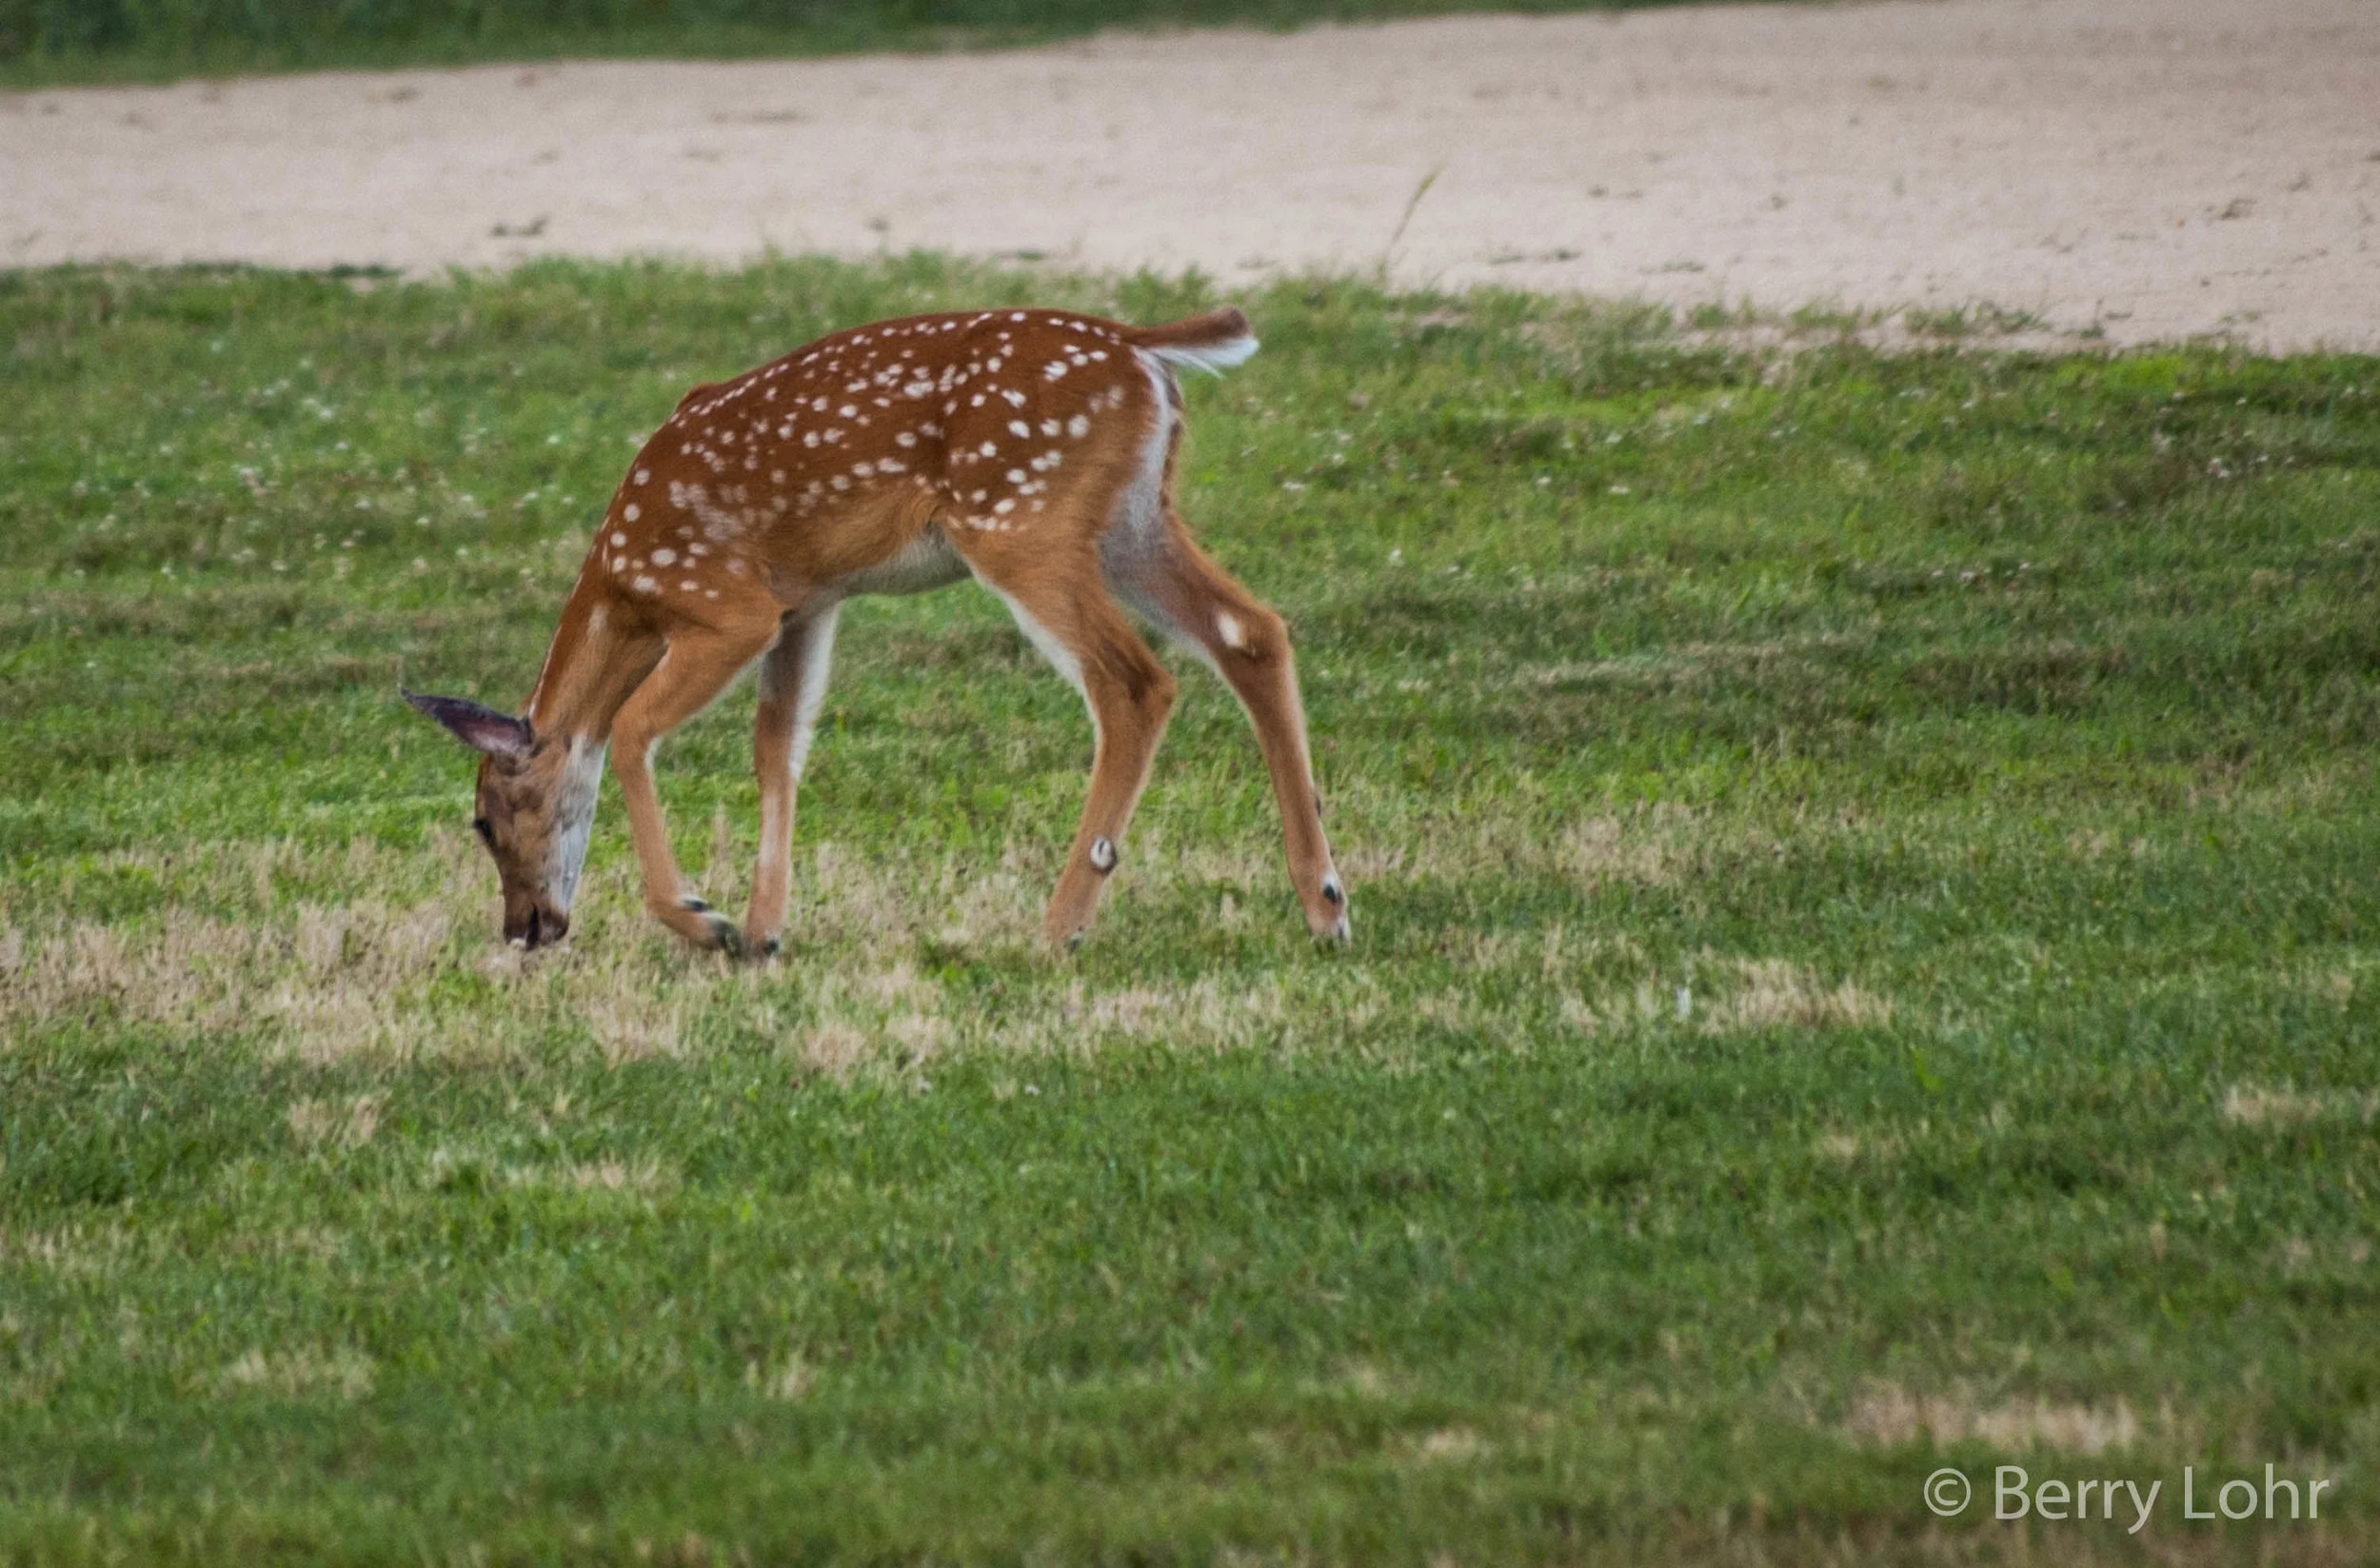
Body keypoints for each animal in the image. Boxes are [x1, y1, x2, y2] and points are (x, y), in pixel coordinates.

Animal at [405, 305, 1348, 957]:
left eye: (484, 819)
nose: (525, 927)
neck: (622, 585)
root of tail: (1143, 350)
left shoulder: (727, 604)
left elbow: (631, 726)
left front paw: (706, 921)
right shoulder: (806, 602)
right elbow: (777, 747)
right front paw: (762, 935)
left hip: (1020, 517)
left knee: (1135, 682)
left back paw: (1058, 927)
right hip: (1131, 518)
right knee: (1249, 630)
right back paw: (1326, 905)